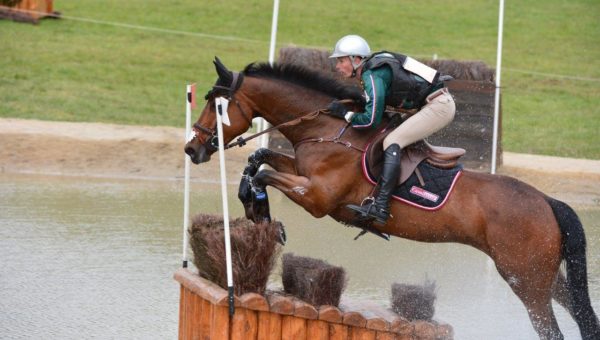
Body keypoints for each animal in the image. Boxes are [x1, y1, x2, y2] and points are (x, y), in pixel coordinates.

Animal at [185, 57, 596, 338]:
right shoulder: (302, 171)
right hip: (542, 274)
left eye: (216, 104)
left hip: (525, 280)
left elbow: (264, 173)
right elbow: (258, 159)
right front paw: (255, 209)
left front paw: (263, 214)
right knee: (579, 312)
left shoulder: (316, 197)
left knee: (551, 329)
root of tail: (547, 202)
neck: (328, 128)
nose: (192, 149)